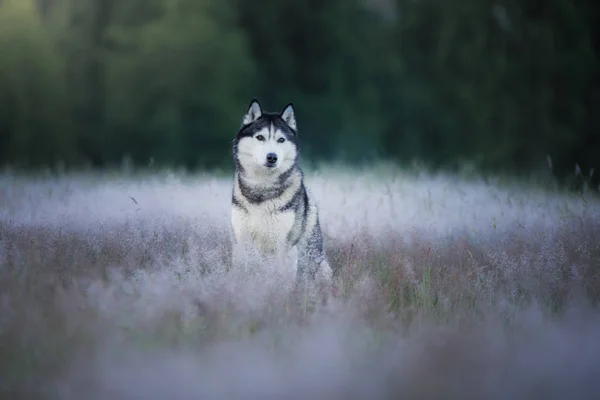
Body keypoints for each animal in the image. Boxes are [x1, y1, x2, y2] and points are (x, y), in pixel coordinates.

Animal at [230, 99, 332, 288]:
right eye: (260, 137)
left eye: (281, 140)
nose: (272, 157)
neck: (262, 189)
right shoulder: (241, 242)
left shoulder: (282, 246)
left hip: (321, 267)